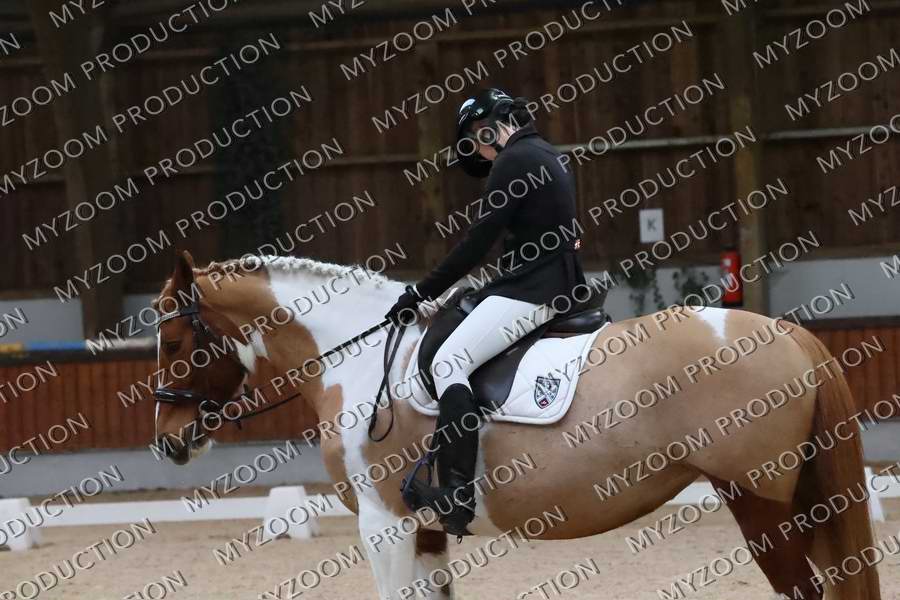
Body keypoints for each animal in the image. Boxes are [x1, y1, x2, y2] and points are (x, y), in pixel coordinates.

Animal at [152, 250, 880, 600]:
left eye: (175, 339)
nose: (169, 441)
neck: (353, 358)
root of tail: (789, 335)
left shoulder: (383, 524)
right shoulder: (424, 530)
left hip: (760, 503)